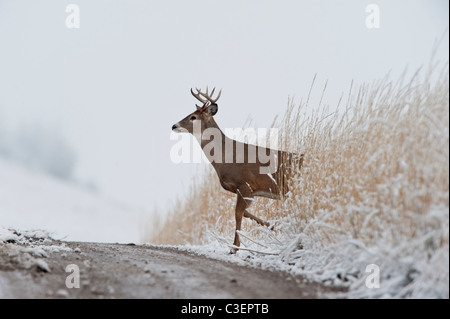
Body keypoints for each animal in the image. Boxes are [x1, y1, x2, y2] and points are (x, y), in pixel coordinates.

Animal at [171, 88, 302, 255]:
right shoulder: (251, 191)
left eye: (193, 117)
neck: (227, 158)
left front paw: (234, 248)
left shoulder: (245, 184)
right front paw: (275, 226)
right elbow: (245, 213)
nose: (174, 126)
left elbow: (238, 214)